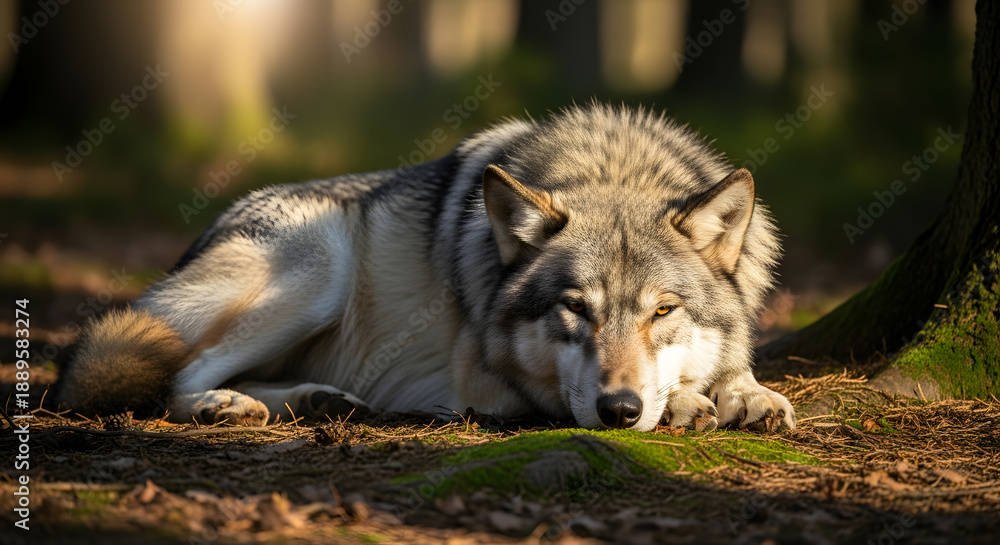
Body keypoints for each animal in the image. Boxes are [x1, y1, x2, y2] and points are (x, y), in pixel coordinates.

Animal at [57, 104, 795, 432]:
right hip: (321, 264)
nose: (620, 409)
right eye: (574, 308)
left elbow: (738, 365)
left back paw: (317, 400)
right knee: (175, 374)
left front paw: (748, 394)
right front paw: (688, 403)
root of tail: (207, 228)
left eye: (663, 311)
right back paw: (223, 404)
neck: (614, 169)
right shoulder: (485, 380)